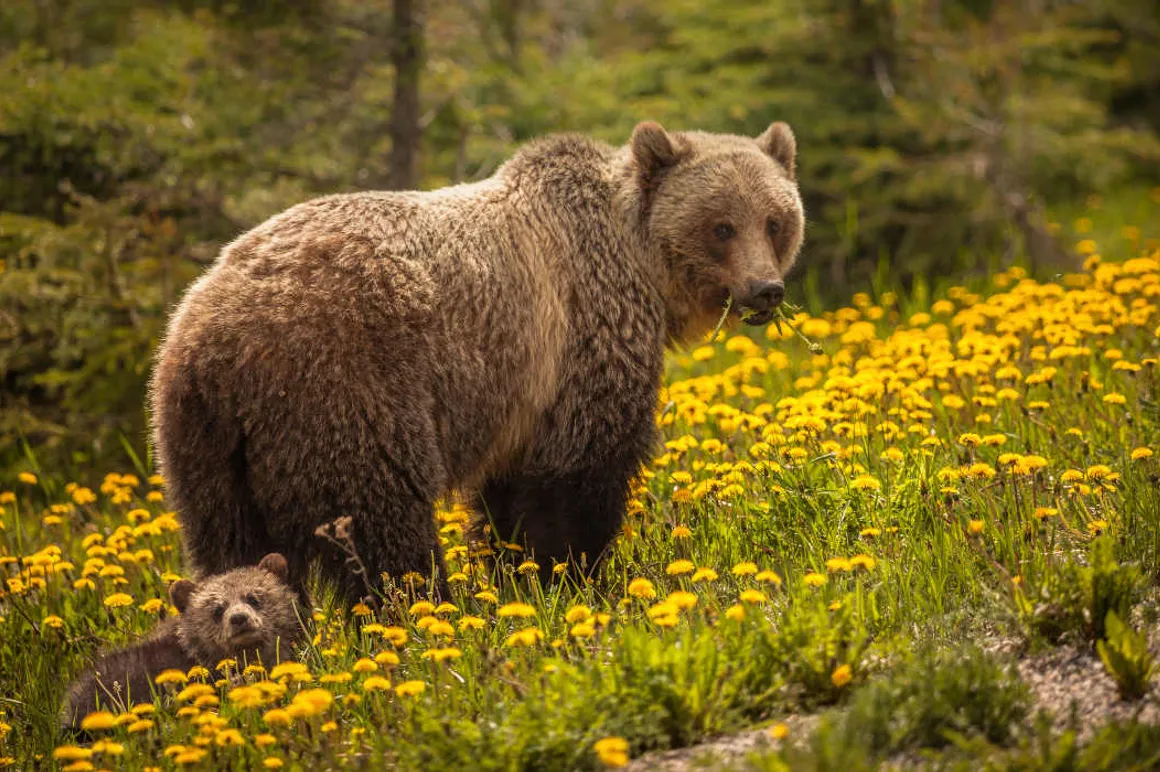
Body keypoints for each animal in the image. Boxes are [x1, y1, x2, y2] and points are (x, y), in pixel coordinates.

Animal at [150, 121, 804, 603]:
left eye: (775, 220)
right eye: (722, 225)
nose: (765, 290)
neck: (641, 266)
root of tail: (212, 338)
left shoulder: (522, 394)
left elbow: (509, 497)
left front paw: (518, 575)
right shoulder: (579, 339)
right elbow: (580, 474)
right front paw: (574, 578)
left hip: (204, 445)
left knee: (231, 545)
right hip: (341, 388)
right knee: (381, 521)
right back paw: (422, 609)